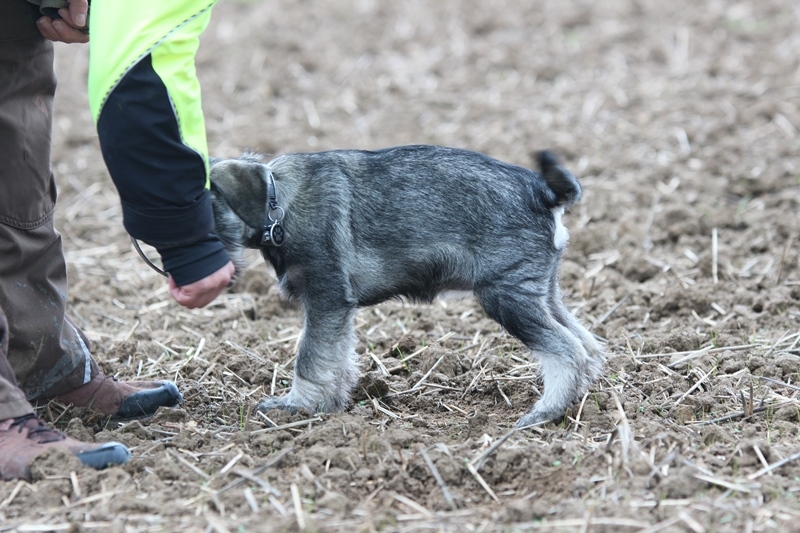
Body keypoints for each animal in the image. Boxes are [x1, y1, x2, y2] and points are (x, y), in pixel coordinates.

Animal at [209, 145, 604, 428]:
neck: (278, 202)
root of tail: (544, 194)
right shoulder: (335, 308)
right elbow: (336, 355)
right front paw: (331, 402)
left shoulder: (326, 297)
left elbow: (311, 357)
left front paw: (296, 406)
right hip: (541, 291)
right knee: (586, 344)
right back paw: (578, 398)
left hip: (507, 296)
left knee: (567, 350)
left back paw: (544, 413)